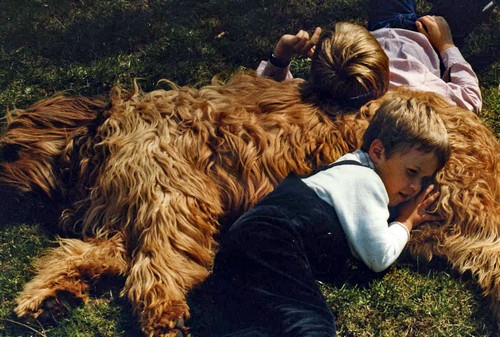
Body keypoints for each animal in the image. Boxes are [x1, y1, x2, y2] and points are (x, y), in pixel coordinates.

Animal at [0, 72, 498, 334]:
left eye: (9, 150)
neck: (97, 137)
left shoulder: (170, 198)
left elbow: (157, 259)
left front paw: (162, 311)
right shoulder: (126, 216)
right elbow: (80, 254)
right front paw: (47, 295)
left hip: (455, 205)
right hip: (443, 226)